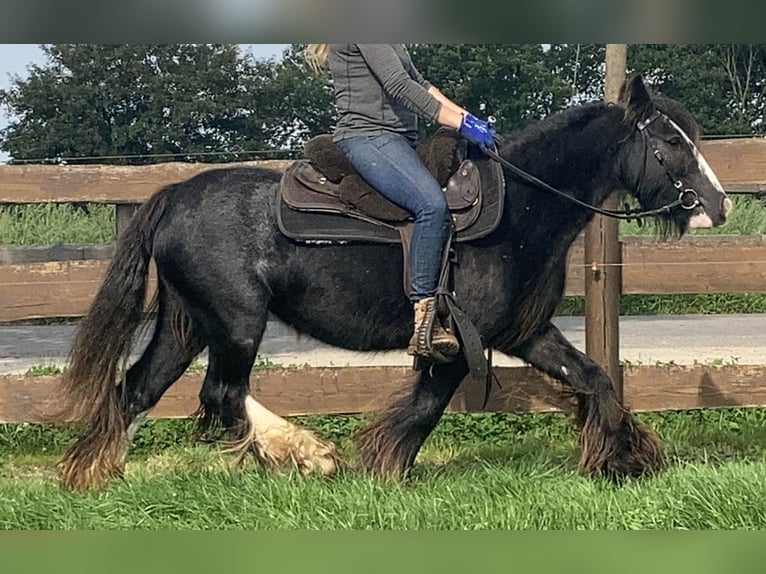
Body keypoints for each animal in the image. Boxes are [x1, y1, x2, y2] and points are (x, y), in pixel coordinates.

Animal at [58, 76, 732, 490]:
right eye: (670, 141)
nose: (718, 205)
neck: (520, 207)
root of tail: (173, 194)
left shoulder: (526, 332)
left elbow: (594, 377)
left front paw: (626, 458)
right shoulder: (459, 343)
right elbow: (424, 408)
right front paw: (384, 469)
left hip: (187, 324)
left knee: (138, 389)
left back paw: (95, 476)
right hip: (236, 323)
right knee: (221, 393)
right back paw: (306, 452)